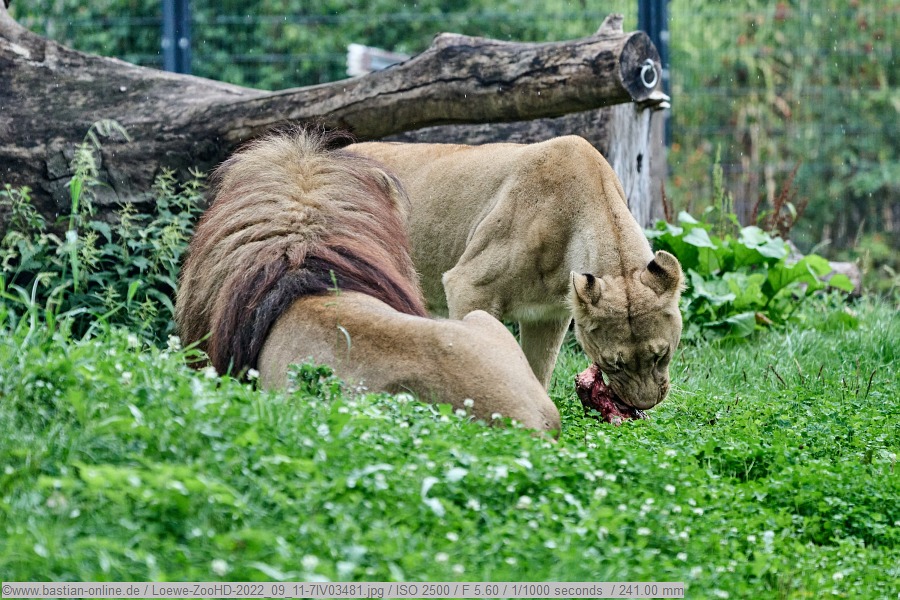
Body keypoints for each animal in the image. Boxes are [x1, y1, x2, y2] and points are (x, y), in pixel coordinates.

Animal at [348, 135, 684, 411]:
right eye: (613, 364)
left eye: (661, 355)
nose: (645, 403)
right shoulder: (468, 284)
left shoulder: (549, 315)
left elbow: (538, 367)